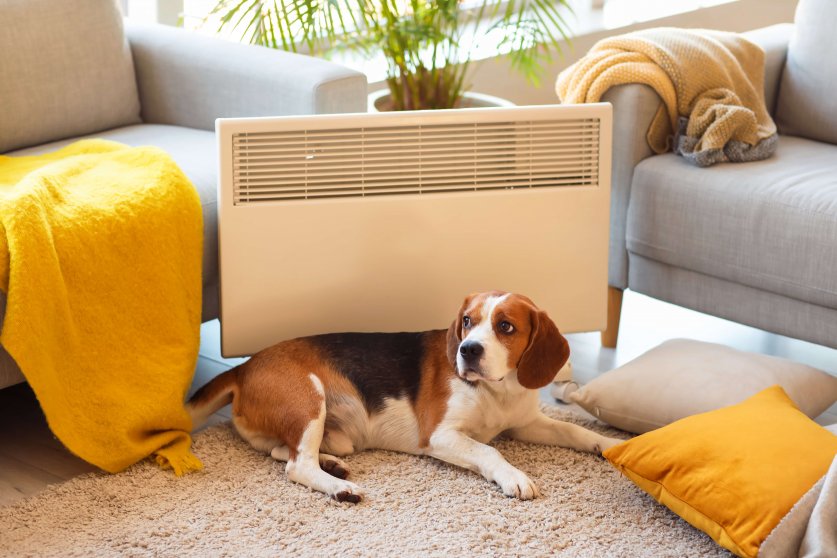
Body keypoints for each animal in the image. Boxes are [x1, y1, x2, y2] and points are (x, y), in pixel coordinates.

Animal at [189, 296, 620, 506]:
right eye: (467, 321)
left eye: (505, 326)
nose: (466, 350)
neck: (498, 390)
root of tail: (243, 368)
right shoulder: (439, 436)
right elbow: (489, 451)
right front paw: (514, 476)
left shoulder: (528, 424)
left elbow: (575, 431)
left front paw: (612, 444)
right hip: (310, 398)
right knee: (297, 466)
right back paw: (339, 487)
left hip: (325, 431)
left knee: (284, 453)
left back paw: (333, 466)